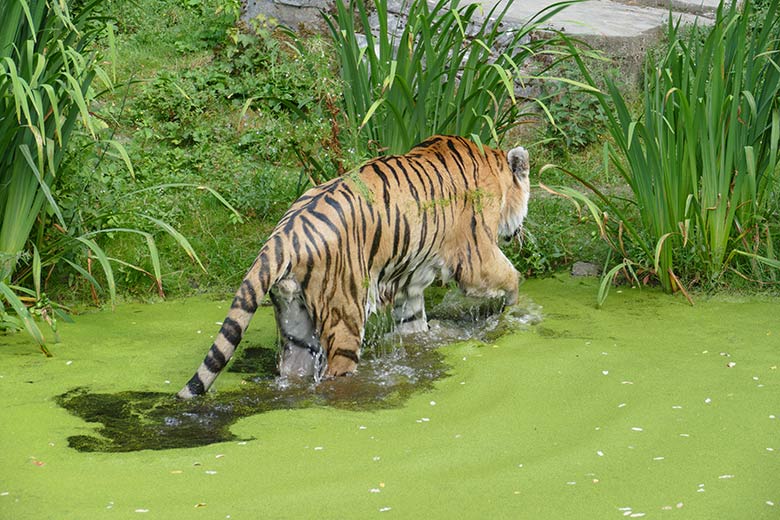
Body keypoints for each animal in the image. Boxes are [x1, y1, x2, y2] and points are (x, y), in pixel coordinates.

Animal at [177, 135, 532, 398]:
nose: (518, 231)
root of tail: (285, 234)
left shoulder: (409, 282)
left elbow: (413, 323)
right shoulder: (475, 256)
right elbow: (511, 277)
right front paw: (514, 311)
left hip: (295, 325)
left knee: (296, 369)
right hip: (344, 315)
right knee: (335, 372)